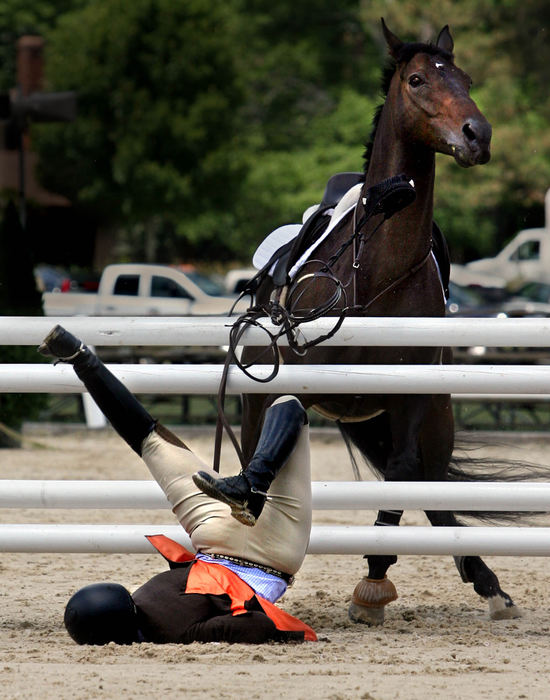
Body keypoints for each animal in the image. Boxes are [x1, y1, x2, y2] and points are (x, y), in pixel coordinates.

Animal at [237, 19, 520, 628]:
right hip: (255, 400)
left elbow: (405, 471)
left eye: (465, 79)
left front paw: (373, 579)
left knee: (432, 482)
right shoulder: (296, 387)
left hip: (435, 415)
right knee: (253, 457)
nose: (478, 135)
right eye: (417, 79)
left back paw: (487, 583)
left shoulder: (411, 396)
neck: (376, 273)